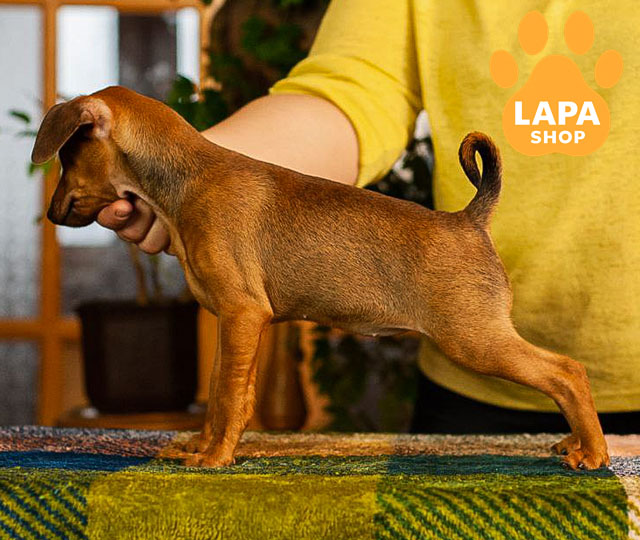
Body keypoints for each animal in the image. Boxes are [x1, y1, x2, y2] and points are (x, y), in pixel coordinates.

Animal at [32, 86, 609, 470]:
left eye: (66, 159)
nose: (52, 214)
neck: (184, 180)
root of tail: (468, 220)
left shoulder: (244, 313)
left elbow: (227, 396)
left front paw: (214, 459)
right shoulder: (237, 322)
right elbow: (226, 393)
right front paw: (203, 444)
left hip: (474, 338)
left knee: (567, 372)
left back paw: (595, 451)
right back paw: (576, 443)